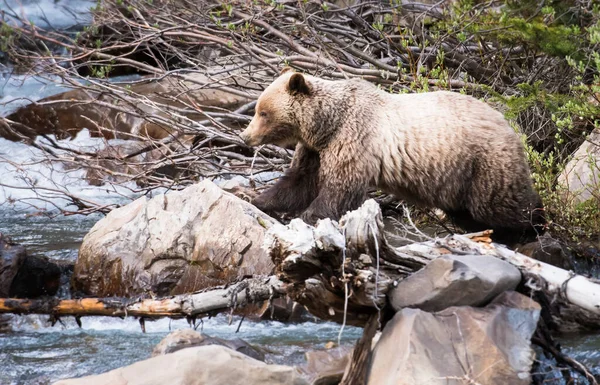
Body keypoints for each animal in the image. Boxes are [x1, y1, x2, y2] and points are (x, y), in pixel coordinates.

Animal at [239, 69, 544, 243]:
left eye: (263, 112)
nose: (245, 136)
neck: (327, 122)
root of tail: (511, 126)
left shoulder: (354, 138)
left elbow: (339, 188)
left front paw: (308, 216)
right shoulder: (315, 149)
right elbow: (298, 181)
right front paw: (258, 199)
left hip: (483, 163)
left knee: (503, 205)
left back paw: (534, 226)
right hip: (459, 179)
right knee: (469, 212)